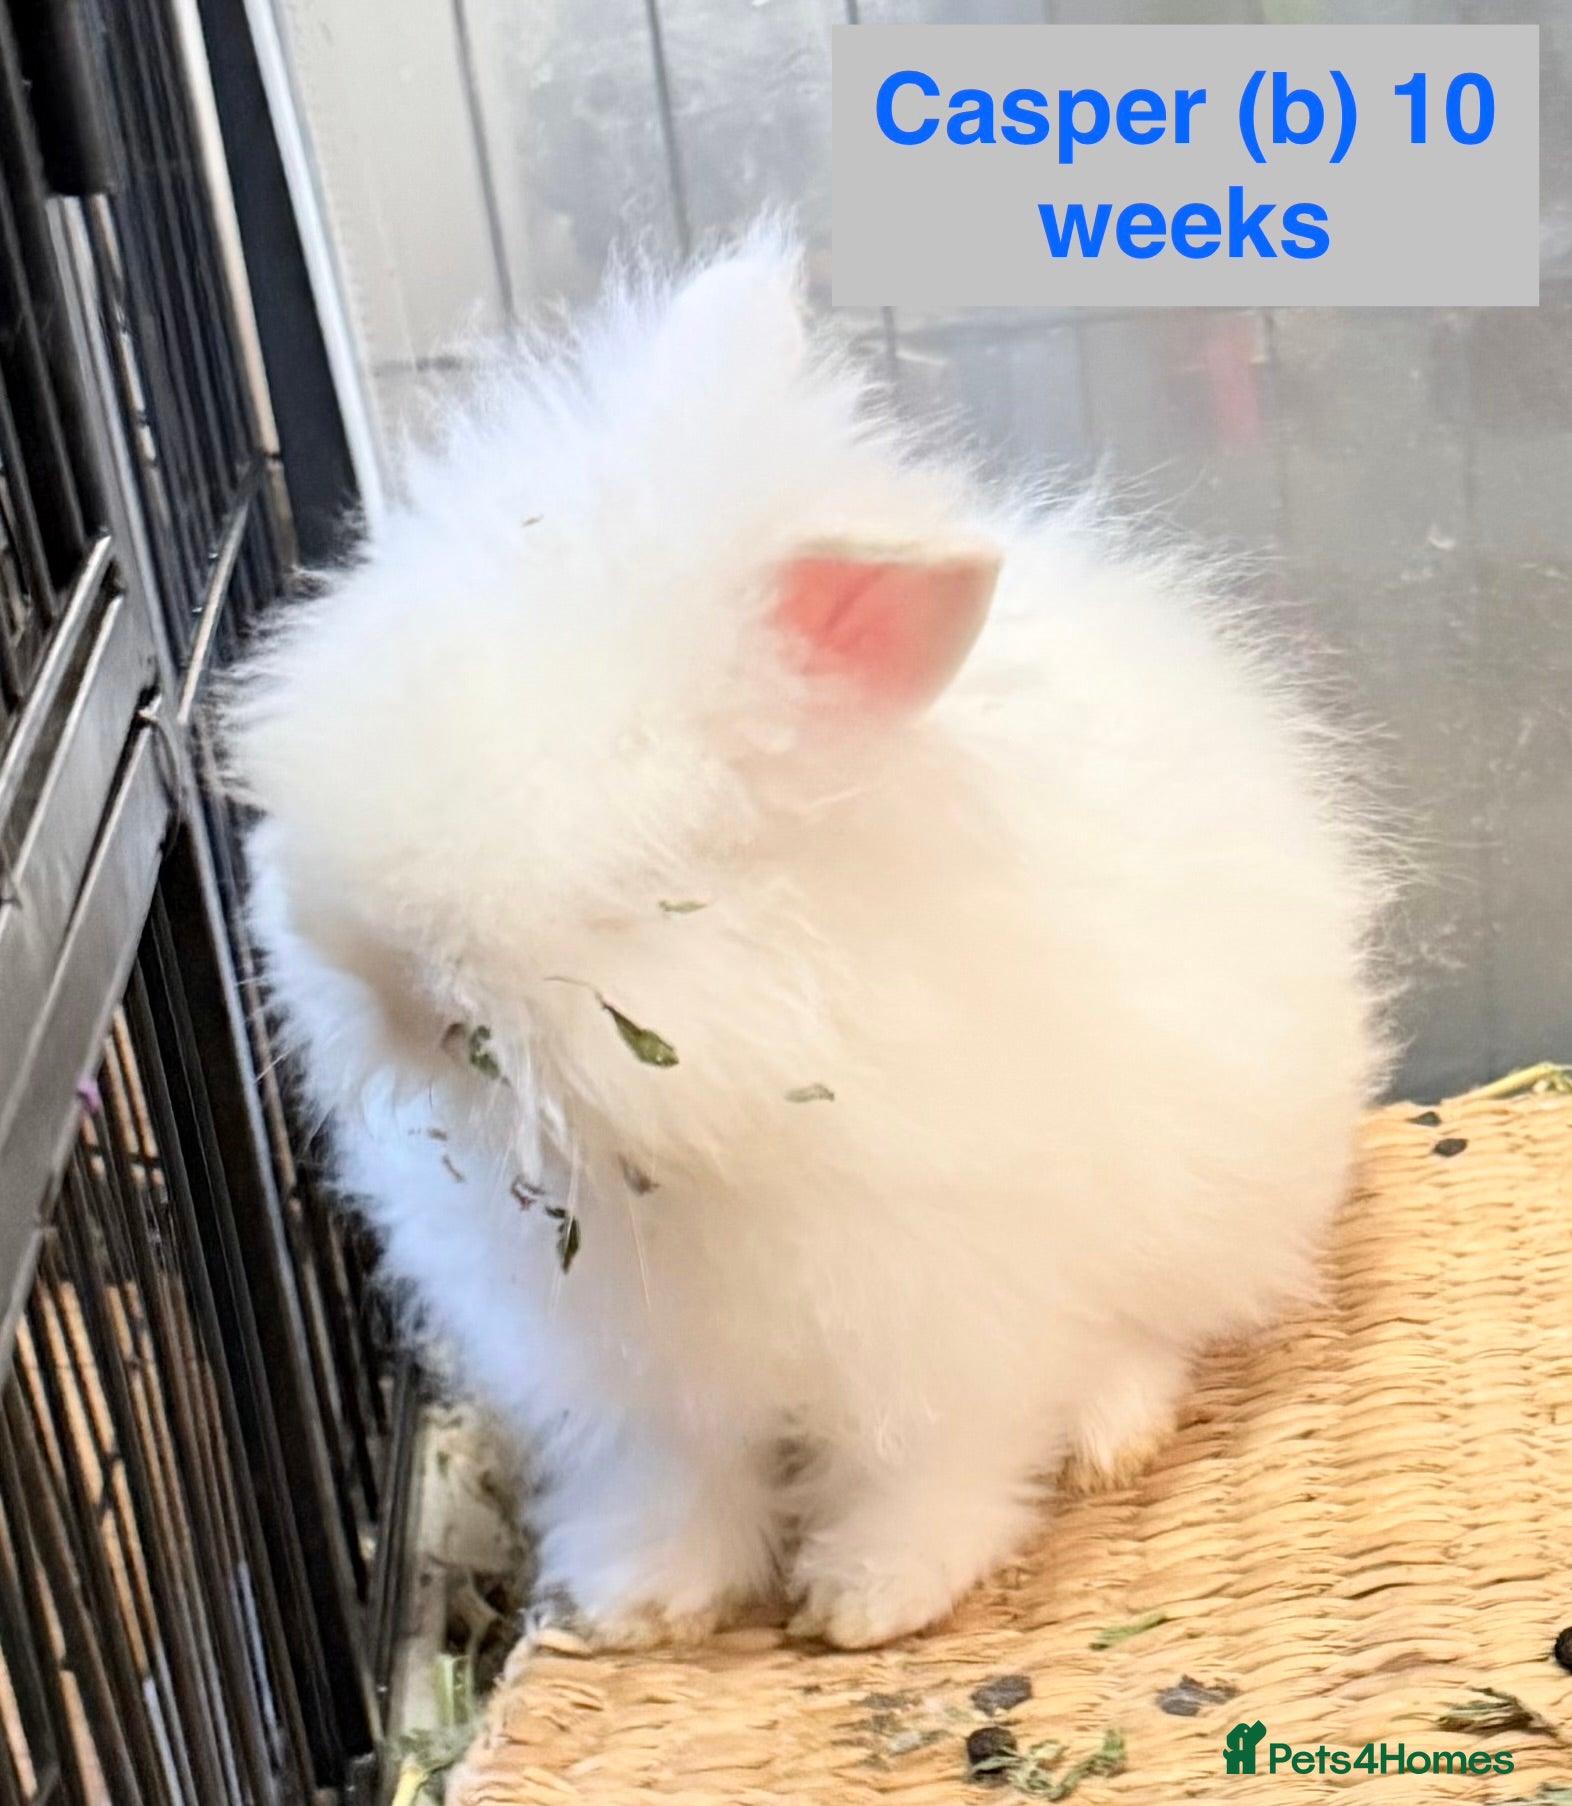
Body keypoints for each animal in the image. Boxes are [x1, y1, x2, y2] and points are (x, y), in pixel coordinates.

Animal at [227, 226, 1391, 1652]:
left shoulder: (949, 1322)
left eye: (651, 883)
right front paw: (637, 1600)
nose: (388, 976)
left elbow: (931, 1463)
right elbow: (680, 1476)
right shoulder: (633, 1374)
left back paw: (1110, 1427)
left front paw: (871, 1600)